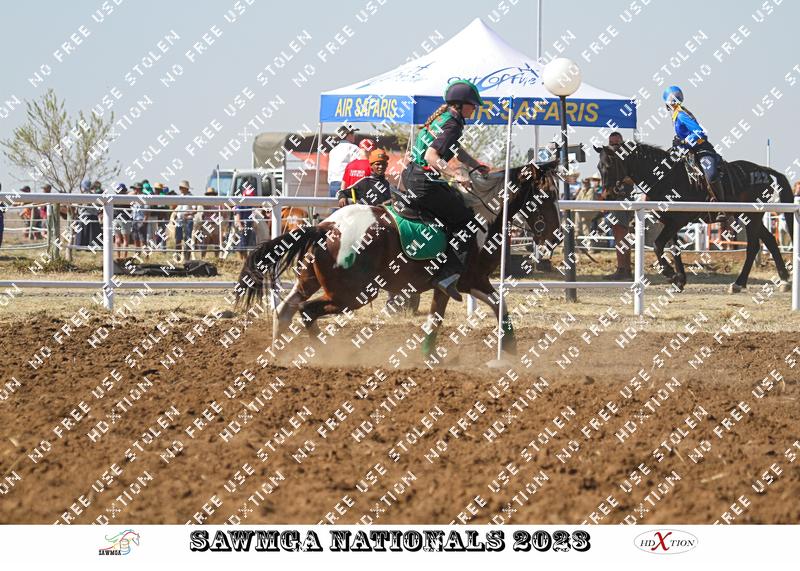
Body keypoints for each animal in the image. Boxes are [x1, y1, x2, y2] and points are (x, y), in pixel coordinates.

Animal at [235, 162, 562, 360]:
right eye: (545, 195)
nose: (556, 236)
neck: (481, 217)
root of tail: (327, 227)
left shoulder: (447, 286)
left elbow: (438, 319)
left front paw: (430, 357)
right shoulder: (473, 280)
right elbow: (499, 304)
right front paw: (510, 349)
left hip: (310, 282)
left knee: (285, 311)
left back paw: (278, 356)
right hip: (352, 296)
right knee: (305, 312)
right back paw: (324, 355)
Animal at [594, 142, 794, 293]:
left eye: (609, 165)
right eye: (598, 166)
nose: (607, 194)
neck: (667, 179)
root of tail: (763, 170)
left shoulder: (677, 222)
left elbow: (658, 246)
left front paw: (671, 274)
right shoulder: (670, 223)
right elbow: (674, 249)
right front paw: (680, 280)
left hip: (751, 217)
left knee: (753, 246)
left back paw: (738, 283)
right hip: (751, 218)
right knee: (769, 240)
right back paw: (784, 280)